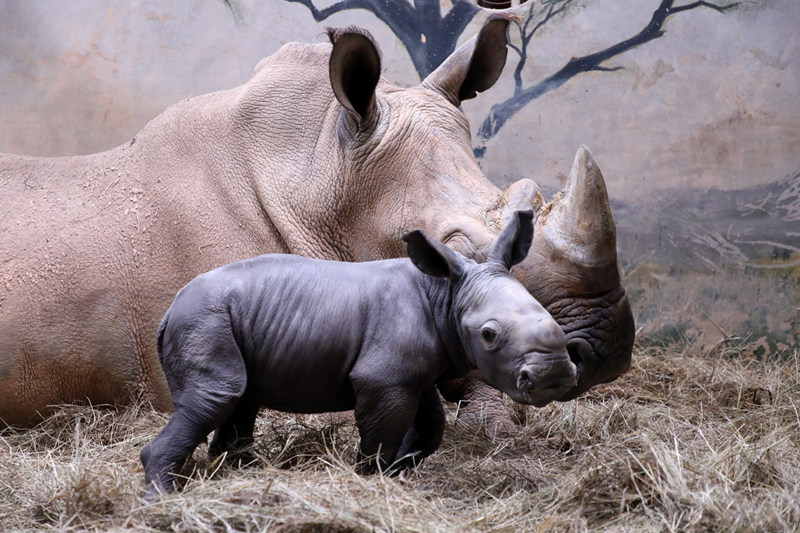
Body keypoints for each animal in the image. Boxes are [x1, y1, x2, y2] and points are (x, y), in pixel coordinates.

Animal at [139, 211, 576, 494]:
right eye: (488, 335)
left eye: (549, 314)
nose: (554, 375)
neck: (445, 295)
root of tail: (168, 311)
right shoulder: (384, 378)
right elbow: (382, 434)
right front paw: (371, 477)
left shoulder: (411, 375)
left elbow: (431, 426)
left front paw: (401, 468)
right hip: (203, 319)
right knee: (219, 394)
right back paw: (162, 498)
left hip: (217, 317)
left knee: (240, 399)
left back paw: (241, 474)